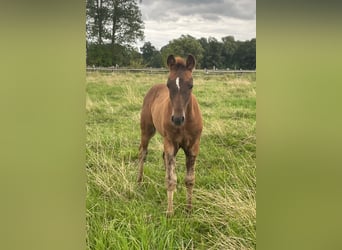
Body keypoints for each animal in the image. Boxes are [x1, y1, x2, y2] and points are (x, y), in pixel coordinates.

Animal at [138, 55, 203, 216]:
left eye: (191, 85)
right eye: (169, 85)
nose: (177, 119)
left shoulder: (193, 146)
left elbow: (189, 179)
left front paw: (189, 209)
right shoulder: (171, 143)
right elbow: (171, 179)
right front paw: (170, 212)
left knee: (163, 158)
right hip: (147, 130)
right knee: (143, 153)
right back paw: (139, 182)